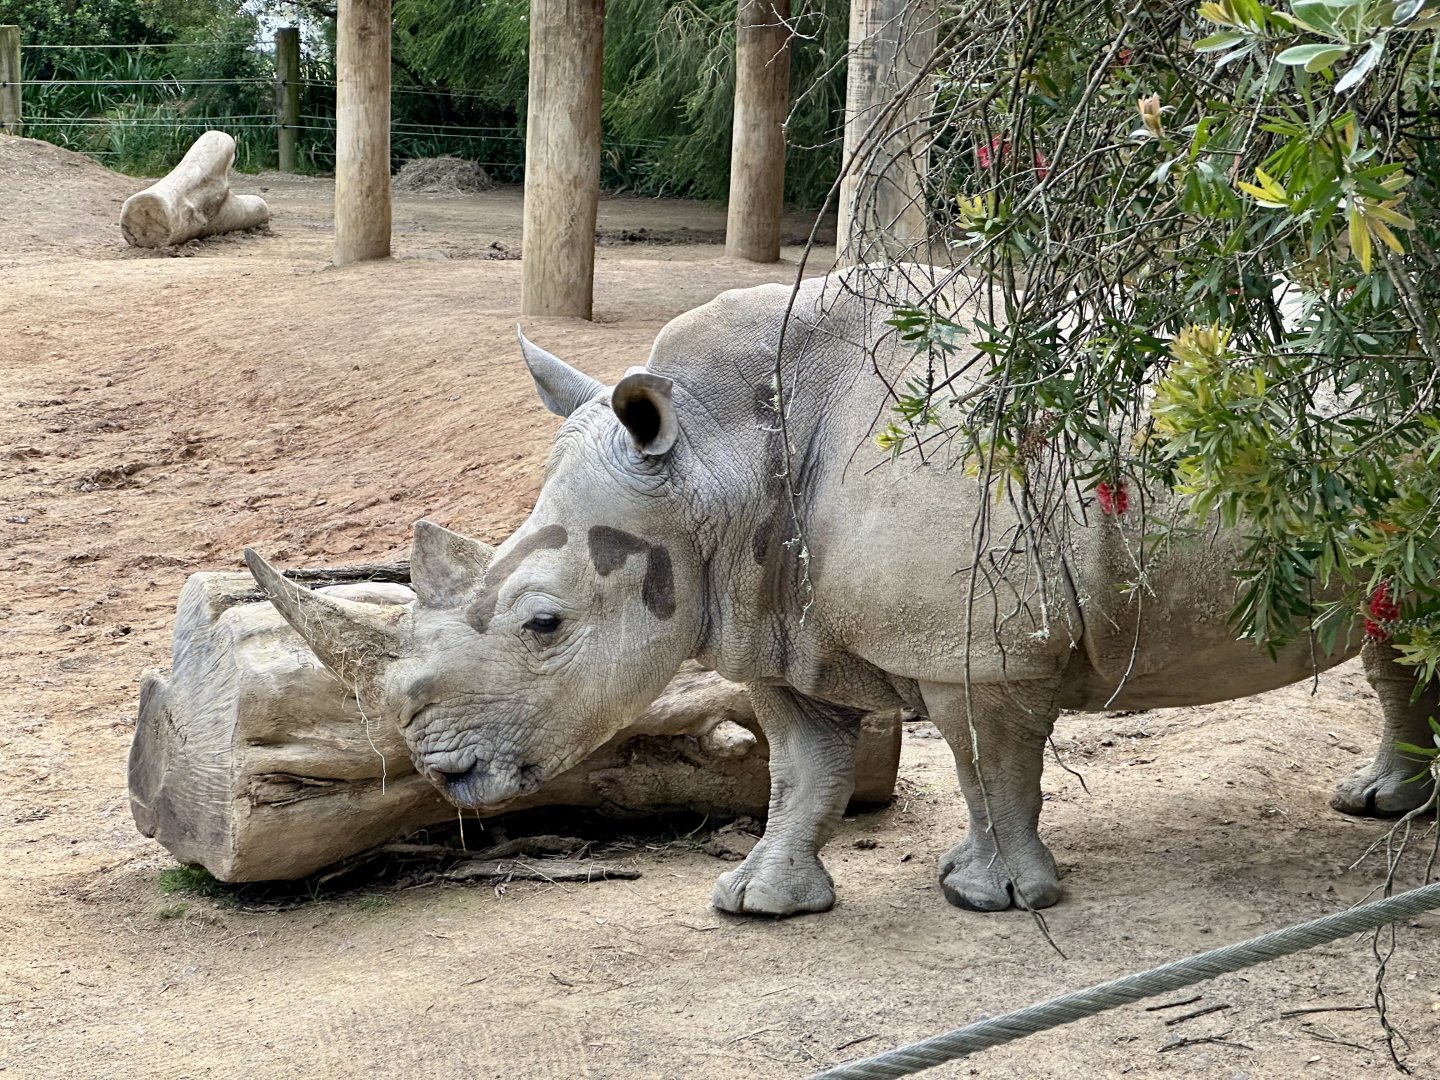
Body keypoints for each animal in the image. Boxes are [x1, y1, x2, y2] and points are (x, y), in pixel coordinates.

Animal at [246, 265, 1437, 916]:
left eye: (544, 624)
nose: (443, 774)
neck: (712, 460)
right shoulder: (774, 621)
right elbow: (801, 773)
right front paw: (759, 902)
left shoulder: (980, 645)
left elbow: (989, 769)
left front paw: (992, 897)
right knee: (1401, 633)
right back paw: (1381, 805)